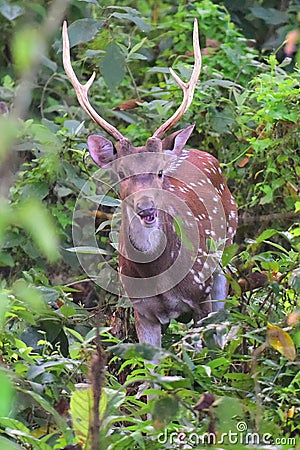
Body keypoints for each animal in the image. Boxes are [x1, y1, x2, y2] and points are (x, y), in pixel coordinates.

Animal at [62, 19, 238, 350]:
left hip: (223, 255)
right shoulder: (141, 311)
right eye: (121, 173)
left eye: (159, 172)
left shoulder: (201, 293)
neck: (159, 279)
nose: (146, 209)